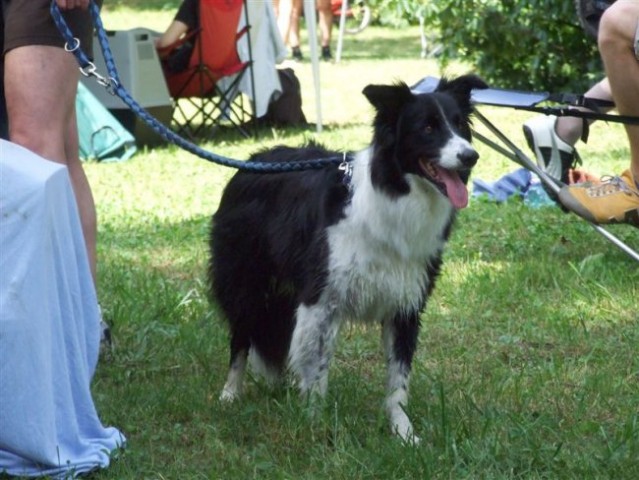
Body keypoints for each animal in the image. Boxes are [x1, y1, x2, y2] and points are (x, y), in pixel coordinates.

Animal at [209, 75, 484, 442]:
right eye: (427, 128)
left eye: (460, 125)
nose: (471, 156)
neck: (396, 194)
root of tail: (251, 162)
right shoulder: (322, 299)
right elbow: (317, 370)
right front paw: (316, 424)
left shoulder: (406, 302)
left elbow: (398, 380)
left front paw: (403, 431)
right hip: (246, 283)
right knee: (241, 339)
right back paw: (230, 394)